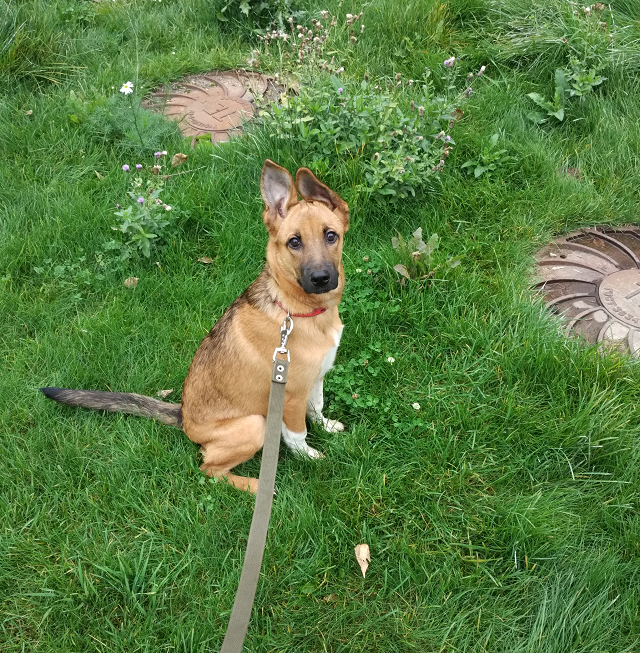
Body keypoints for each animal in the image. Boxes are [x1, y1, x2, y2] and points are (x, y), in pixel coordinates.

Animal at [41, 160, 349, 493]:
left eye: (331, 236)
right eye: (294, 242)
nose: (321, 278)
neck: (296, 310)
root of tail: (183, 417)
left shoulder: (316, 378)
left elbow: (315, 408)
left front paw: (327, 426)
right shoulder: (290, 395)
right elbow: (297, 433)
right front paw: (310, 457)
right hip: (255, 424)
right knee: (209, 468)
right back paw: (255, 485)